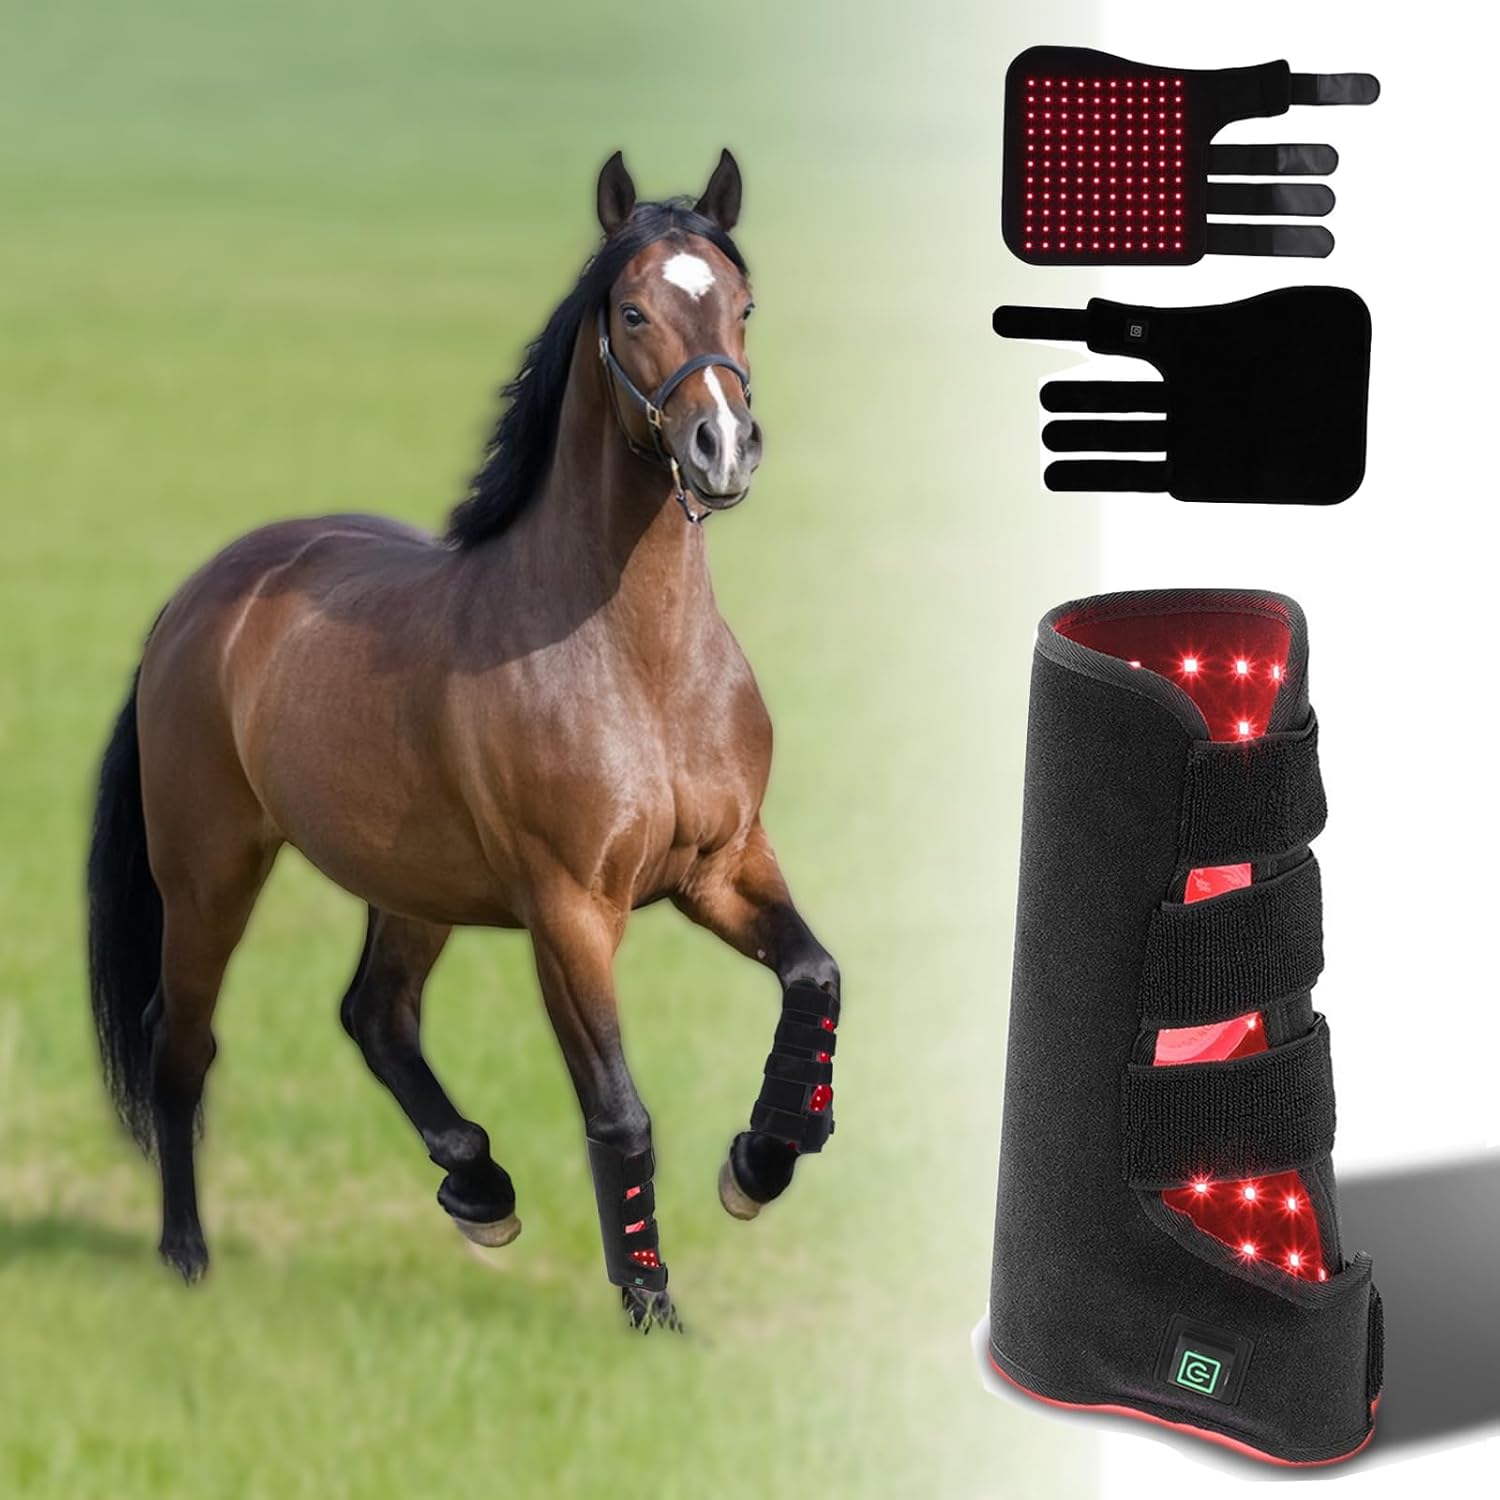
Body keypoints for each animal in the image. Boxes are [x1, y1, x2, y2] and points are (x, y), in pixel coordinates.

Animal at [85, 149, 841, 1331]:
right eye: (631, 312)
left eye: (743, 304)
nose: (722, 449)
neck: (635, 659)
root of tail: (201, 598)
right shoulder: (571, 912)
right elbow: (619, 1110)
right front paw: (655, 1311)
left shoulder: (725, 865)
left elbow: (815, 977)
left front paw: (759, 1165)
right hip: (210, 872)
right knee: (183, 1046)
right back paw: (187, 1256)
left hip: (411, 885)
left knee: (375, 1016)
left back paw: (480, 1189)